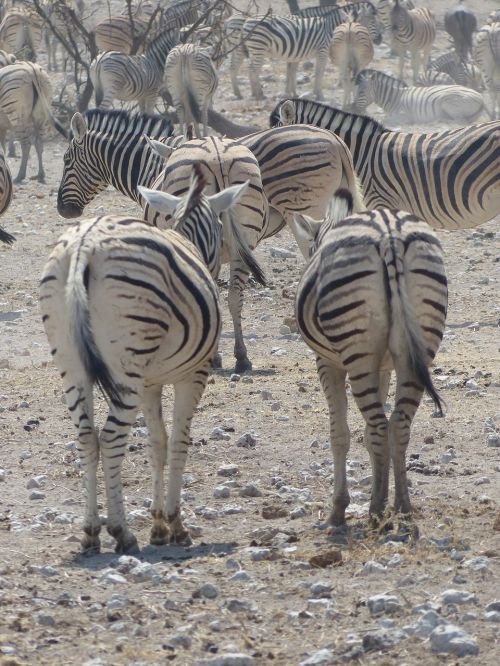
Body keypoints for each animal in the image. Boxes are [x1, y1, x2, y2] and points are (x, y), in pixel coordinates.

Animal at [39, 165, 264, 548]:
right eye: (221, 226)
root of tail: (86, 246)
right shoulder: (193, 375)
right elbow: (179, 442)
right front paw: (175, 523)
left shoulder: (150, 383)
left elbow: (157, 443)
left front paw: (158, 525)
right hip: (125, 367)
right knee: (111, 438)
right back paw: (121, 531)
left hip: (70, 363)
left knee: (87, 437)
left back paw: (90, 532)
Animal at [292, 189, 446, 528]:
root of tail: (389, 234)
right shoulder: (385, 366)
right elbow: (368, 430)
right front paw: (382, 490)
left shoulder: (327, 363)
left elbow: (341, 433)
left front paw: (339, 508)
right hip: (419, 344)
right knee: (397, 423)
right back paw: (401, 505)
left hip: (357, 353)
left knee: (377, 425)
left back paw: (375, 510)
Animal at [352, 68, 484, 123]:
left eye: (361, 92)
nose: (353, 108)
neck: (394, 98)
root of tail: (480, 97)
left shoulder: (402, 115)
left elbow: (385, 119)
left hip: (449, 103)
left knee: (460, 120)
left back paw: (439, 120)